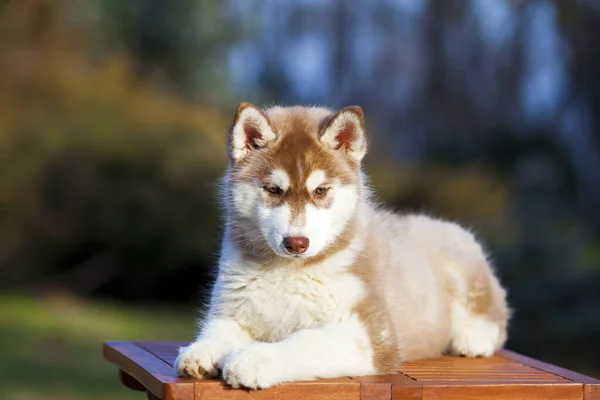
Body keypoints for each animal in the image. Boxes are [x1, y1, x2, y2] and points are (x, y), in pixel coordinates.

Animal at [176, 101, 508, 390]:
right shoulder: (231, 308)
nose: (296, 243)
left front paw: (253, 359)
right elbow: (218, 330)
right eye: (273, 189)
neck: (287, 270)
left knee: (497, 316)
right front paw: (202, 350)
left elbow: (303, 343)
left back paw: (472, 338)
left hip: (464, 259)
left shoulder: (372, 334)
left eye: (321, 191)